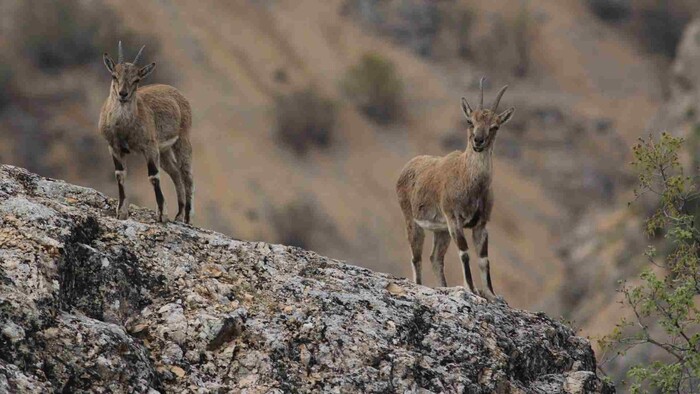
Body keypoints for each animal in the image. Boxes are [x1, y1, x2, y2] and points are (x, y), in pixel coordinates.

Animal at [97, 42, 193, 225]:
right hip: (163, 151)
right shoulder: (113, 147)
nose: (123, 94)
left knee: (187, 174)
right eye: (114, 75)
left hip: (182, 139)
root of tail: (177, 93)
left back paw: (187, 218)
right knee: (175, 172)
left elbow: (154, 177)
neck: (124, 128)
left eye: (137, 79)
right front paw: (121, 212)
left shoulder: (149, 147)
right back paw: (178, 214)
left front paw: (162, 214)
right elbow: (119, 175)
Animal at [396, 77, 516, 300]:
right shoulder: (454, 219)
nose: (478, 141)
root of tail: (409, 165)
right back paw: (421, 285)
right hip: (413, 220)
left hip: (441, 230)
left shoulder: (481, 224)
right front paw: (470, 288)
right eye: (470, 122)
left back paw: (443, 287)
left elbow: (483, 259)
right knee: (416, 257)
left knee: (435, 258)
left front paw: (491, 294)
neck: (469, 180)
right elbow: (465, 253)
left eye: (495, 126)